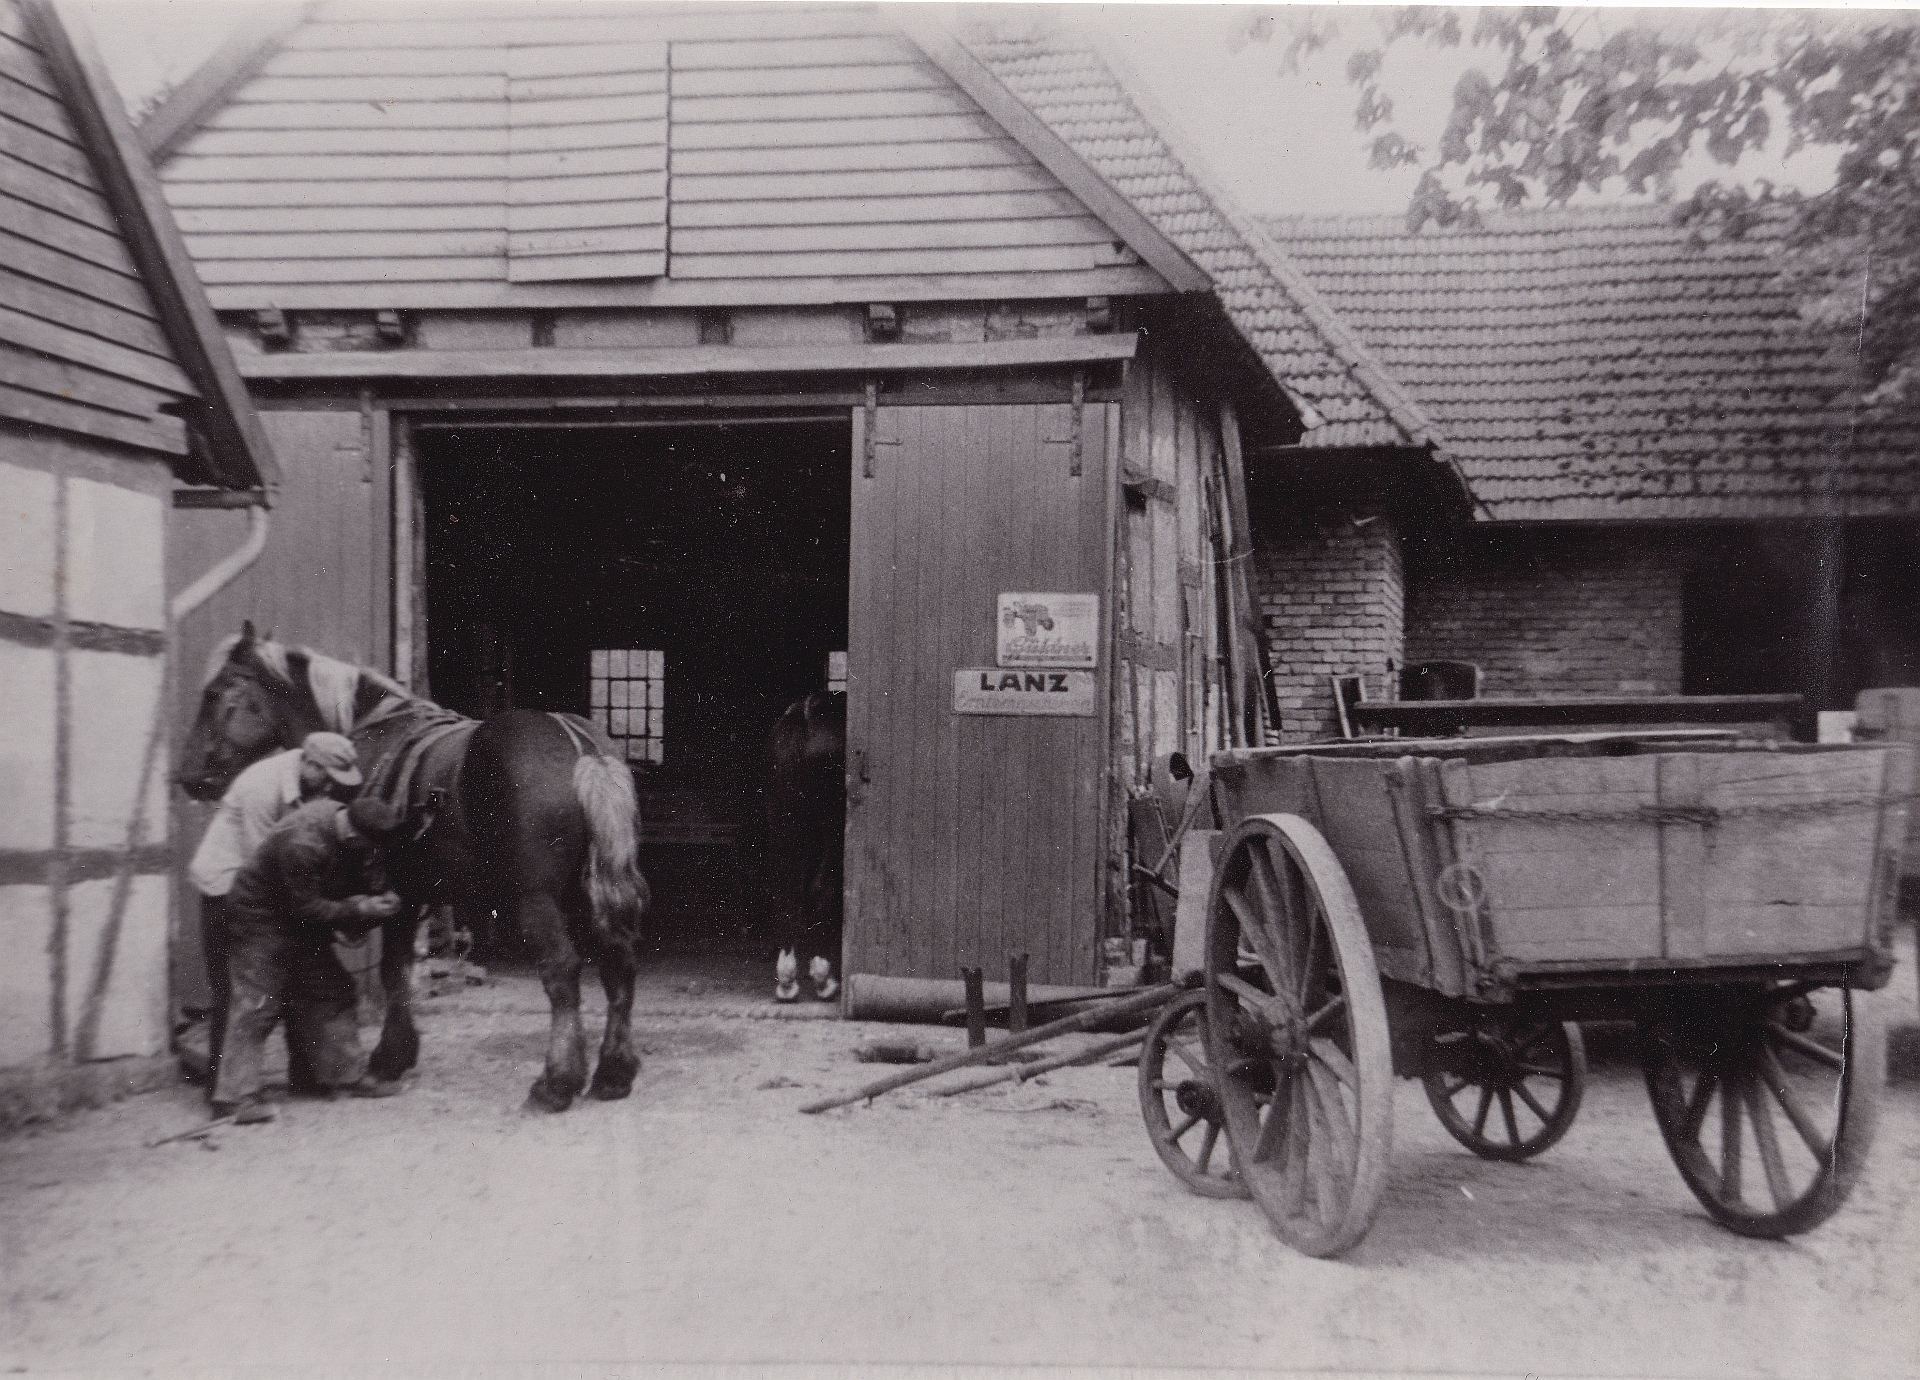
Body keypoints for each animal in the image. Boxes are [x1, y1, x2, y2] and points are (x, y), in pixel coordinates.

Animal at [177, 624, 649, 1112]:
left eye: (215, 694)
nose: (189, 776)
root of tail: (581, 748)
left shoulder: (398, 892)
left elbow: (392, 970)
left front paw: (389, 1058)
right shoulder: (411, 892)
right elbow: (396, 967)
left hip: (535, 899)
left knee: (562, 971)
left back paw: (556, 1082)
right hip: (586, 895)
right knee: (618, 966)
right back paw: (613, 1074)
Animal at [764, 689, 846, 1000]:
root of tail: (808, 712)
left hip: (784, 818)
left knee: (785, 887)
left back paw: (787, 980)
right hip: (832, 827)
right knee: (821, 887)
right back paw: (825, 979)